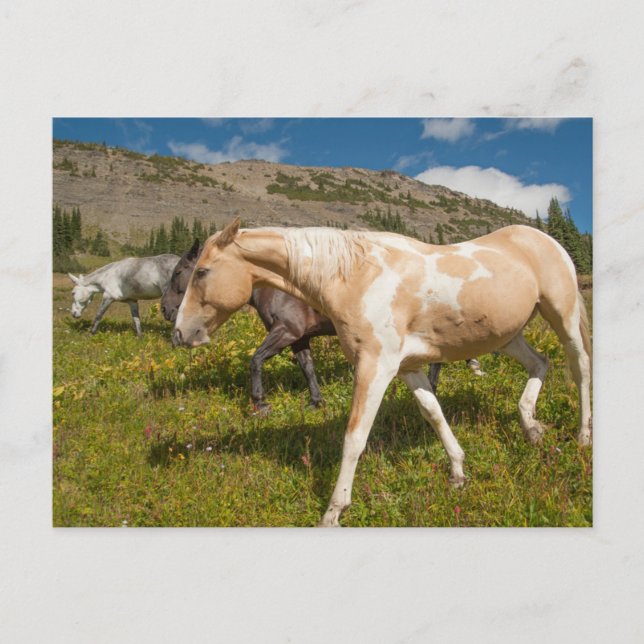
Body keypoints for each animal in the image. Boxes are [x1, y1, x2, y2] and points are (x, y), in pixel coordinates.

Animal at [161, 241, 484, 411]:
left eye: (180, 272)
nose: (165, 309)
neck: (273, 287)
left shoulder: (285, 331)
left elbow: (255, 359)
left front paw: (259, 401)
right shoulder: (298, 338)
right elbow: (308, 368)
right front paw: (316, 401)